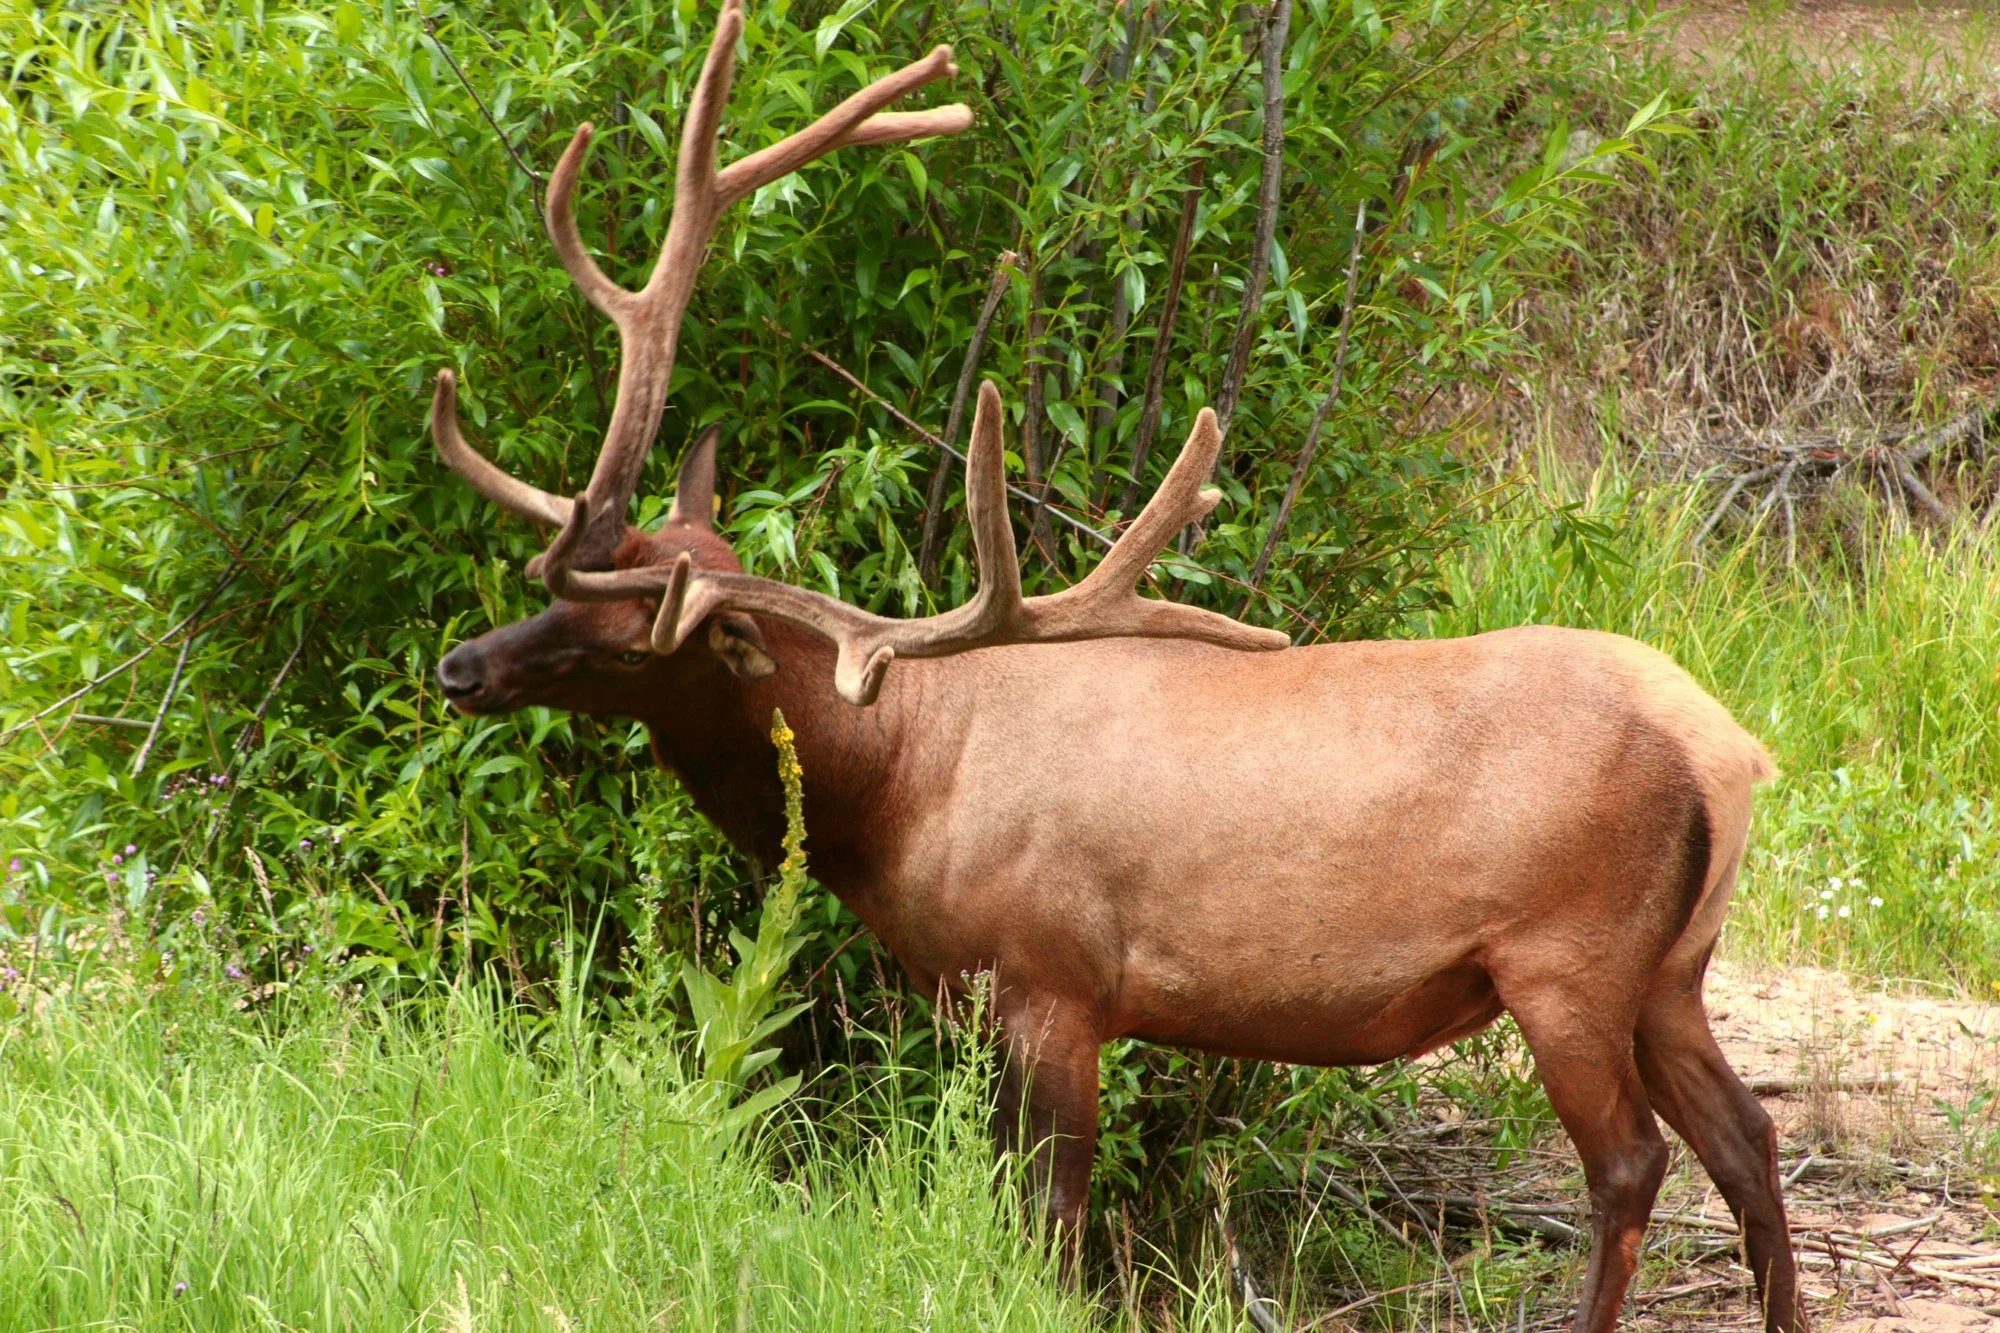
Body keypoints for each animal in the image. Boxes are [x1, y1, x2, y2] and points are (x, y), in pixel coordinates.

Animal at [426, 4, 1802, 1328]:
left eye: (633, 635)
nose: (461, 665)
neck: (898, 787)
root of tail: (1732, 754)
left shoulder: (1054, 976)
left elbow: (1047, 1217)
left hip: (1566, 952)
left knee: (1630, 1161)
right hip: (1670, 968)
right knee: (1747, 1138)